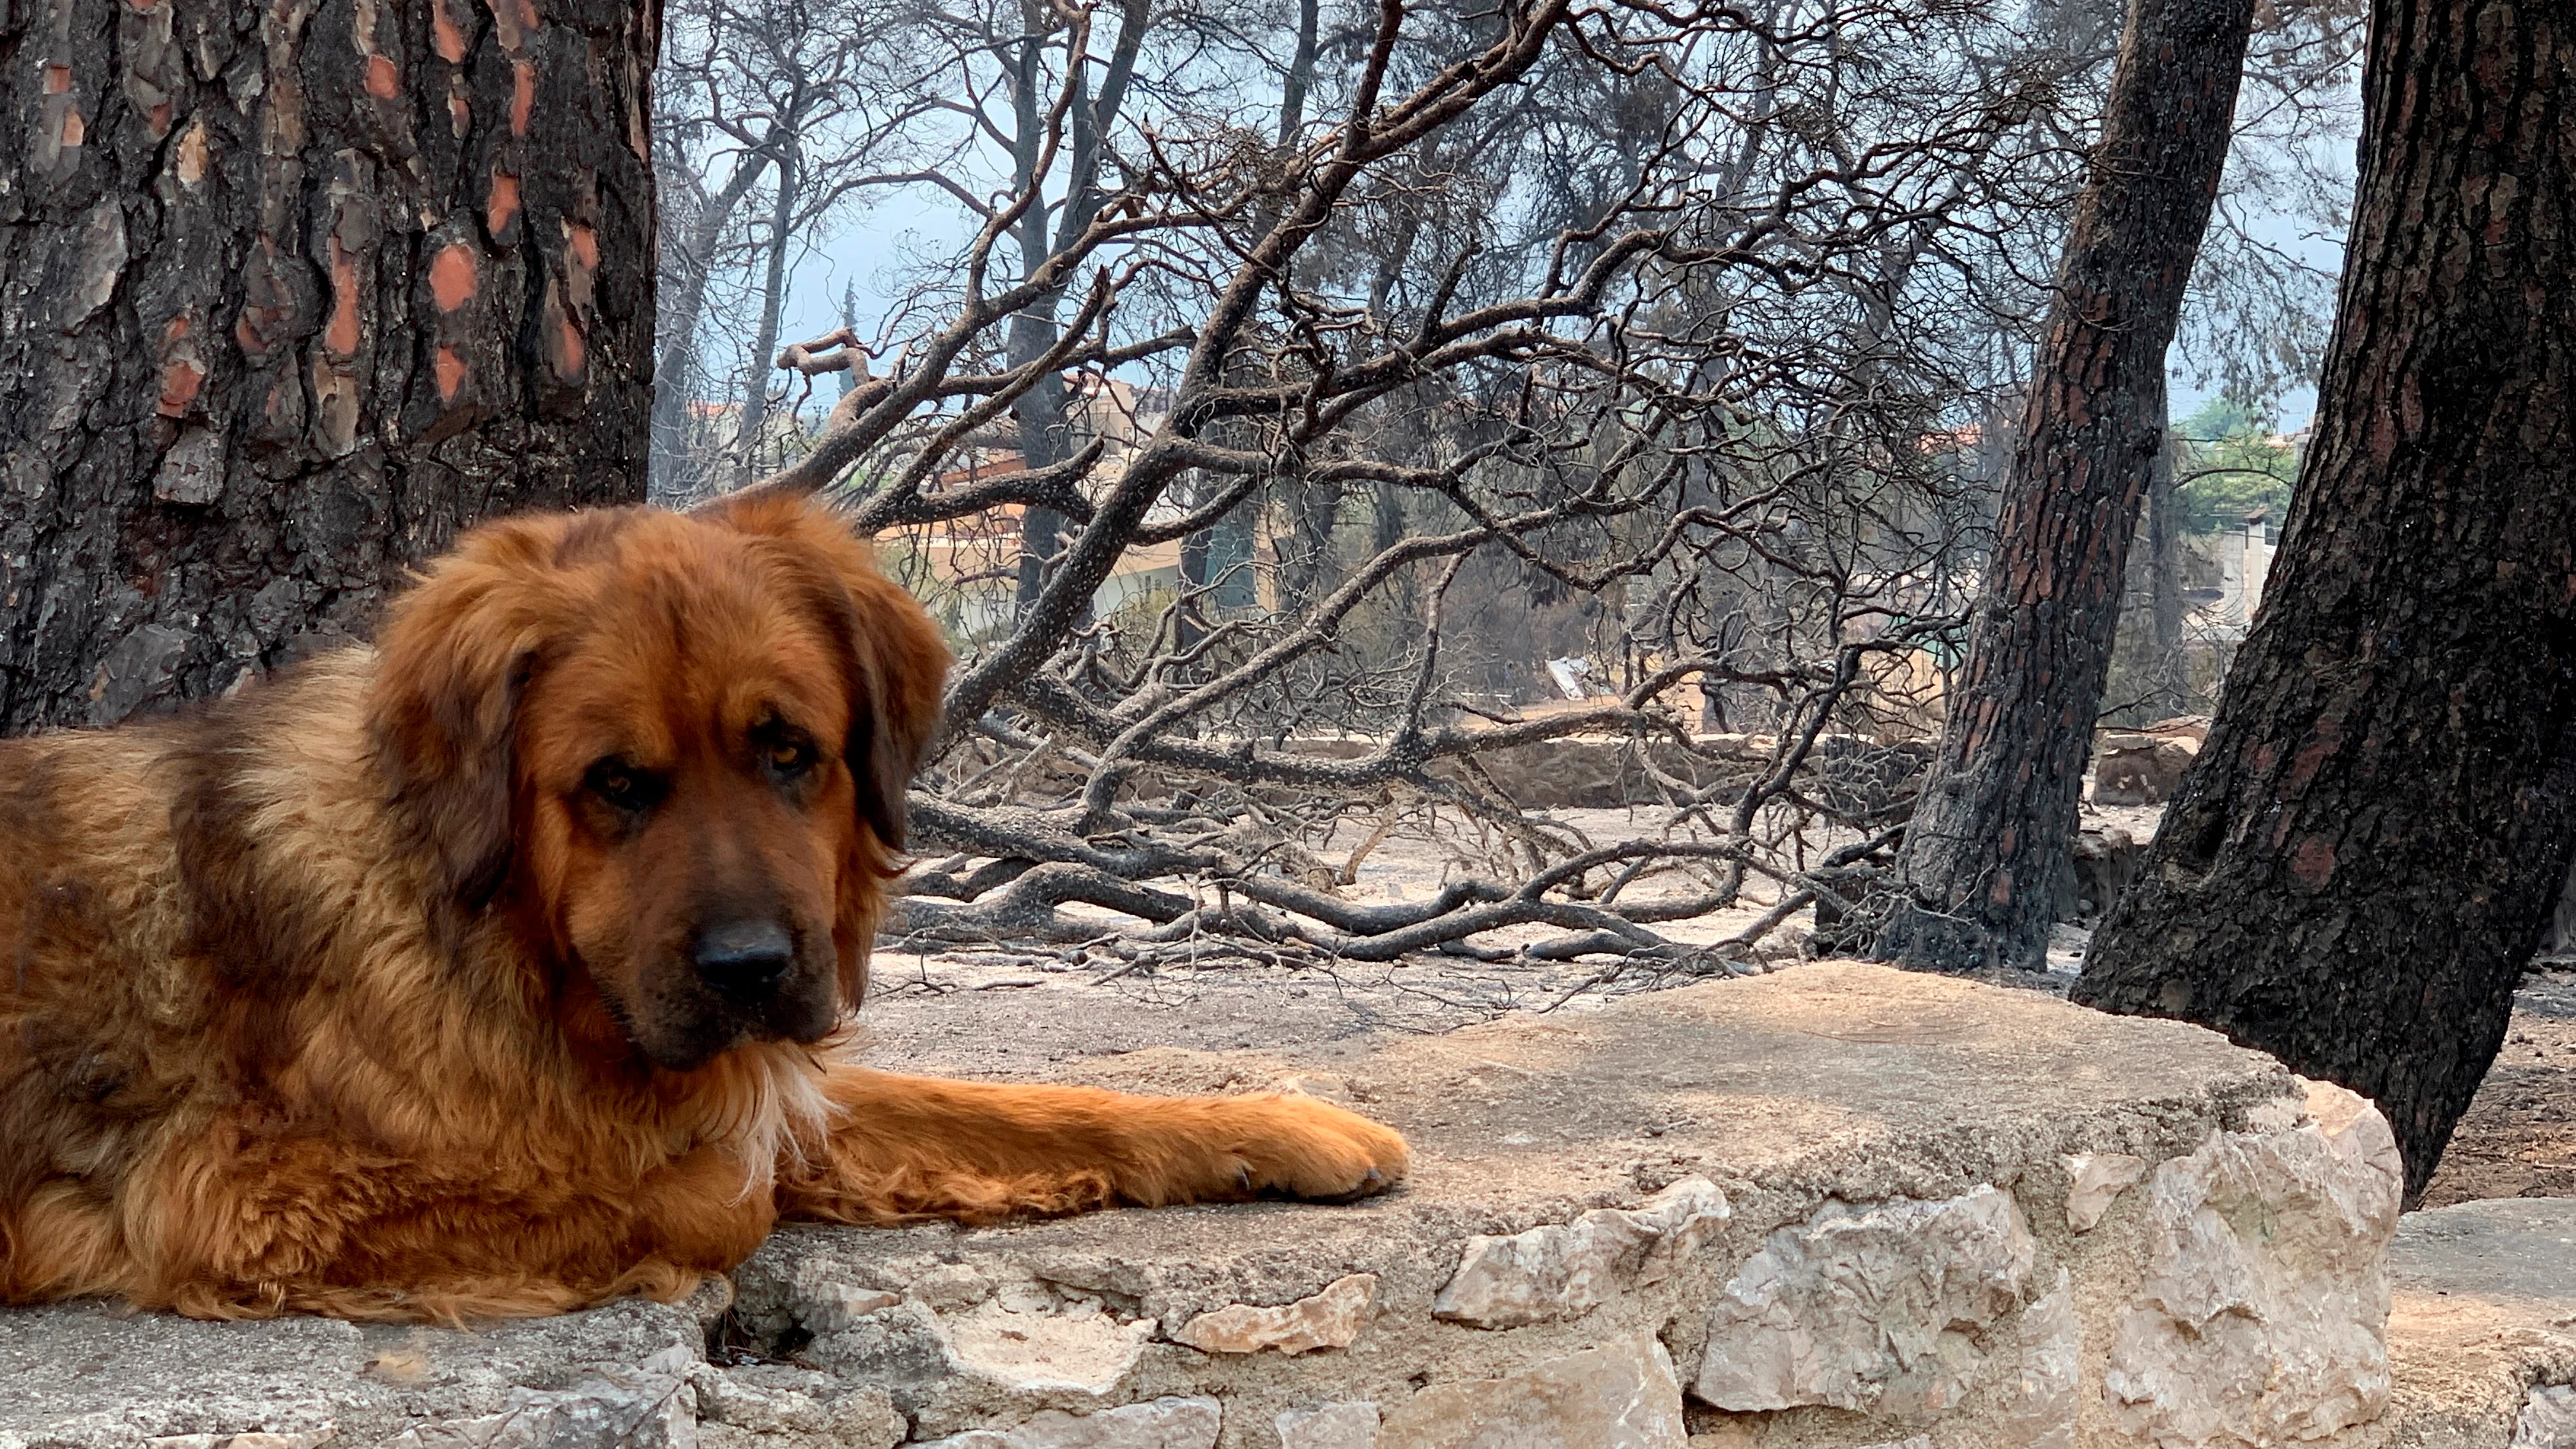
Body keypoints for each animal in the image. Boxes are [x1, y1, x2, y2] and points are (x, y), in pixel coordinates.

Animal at [0, 489, 1411, 1315]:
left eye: (789, 751)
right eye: (616, 784)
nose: (747, 969)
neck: (505, 948)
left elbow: (1019, 1107)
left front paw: (1275, 1127)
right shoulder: (239, 1189)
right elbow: (720, 1197)